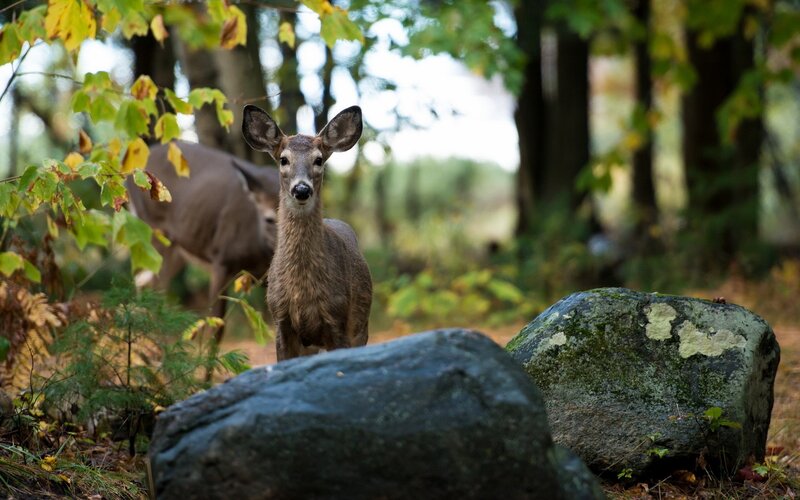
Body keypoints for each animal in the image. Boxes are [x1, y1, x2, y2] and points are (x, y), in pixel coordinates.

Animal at [126, 140, 279, 343]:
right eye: (269, 219)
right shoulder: (221, 259)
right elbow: (216, 326)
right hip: (155, 229)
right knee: (156, 286)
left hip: (178, 249)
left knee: (143, 279)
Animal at [242, 105, 372, 361]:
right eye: (284, 159)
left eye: (318, 160)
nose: (301, 189)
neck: (302, 292)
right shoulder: (281, 321)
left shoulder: (338, 320)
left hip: (361, 327)